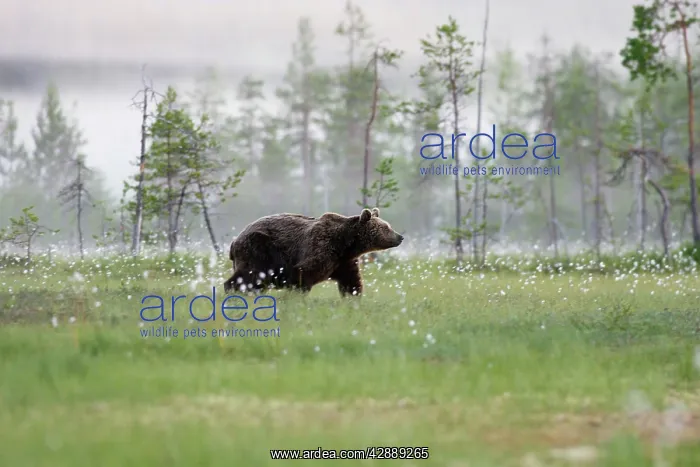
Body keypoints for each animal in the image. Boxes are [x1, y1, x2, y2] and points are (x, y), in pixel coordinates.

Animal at [223, 207, 403, 296]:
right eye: (386, 227)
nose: (400, 237)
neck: (345, 244)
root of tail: (234, 242)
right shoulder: (320, 248)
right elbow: (303, 274)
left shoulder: (344, 262)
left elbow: (351, 282)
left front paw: (353, 298)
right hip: (258, 250)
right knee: (249, 276)